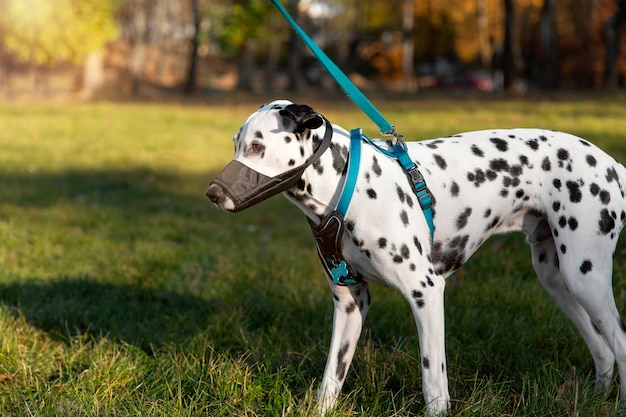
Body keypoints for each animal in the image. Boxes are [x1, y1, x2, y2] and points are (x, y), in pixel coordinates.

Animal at [206, 99, 624, 414]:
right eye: (236, 144)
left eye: (257, 146)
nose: (213, 193)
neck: (344, 184)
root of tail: (613, 165)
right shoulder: (349, 304)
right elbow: (331, 379)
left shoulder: (427, 293)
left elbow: (432, 379)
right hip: (558, 279)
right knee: (603, 349)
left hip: (586, 279)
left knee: (619, 340)